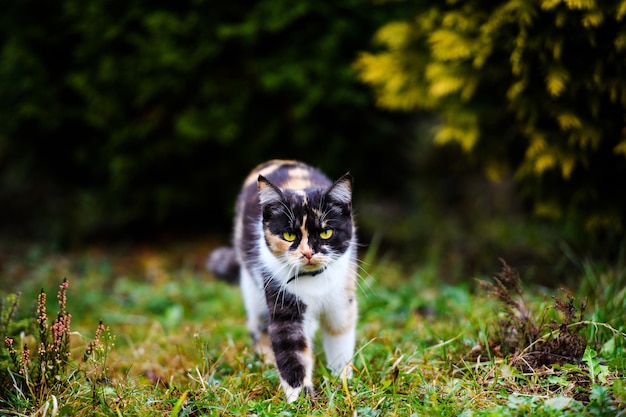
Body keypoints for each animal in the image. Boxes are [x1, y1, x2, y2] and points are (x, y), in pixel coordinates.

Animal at [208, 158, 358, 400]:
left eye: (326, 232)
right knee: (259, 324)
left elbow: (340, 336)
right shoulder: (282, 302)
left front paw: (343, 381)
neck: (313, 282)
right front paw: (301, 399)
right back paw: (267, 361)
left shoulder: (342, 300)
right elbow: (291, 349)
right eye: (289, 235)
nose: (308, 253)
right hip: (252, 287)